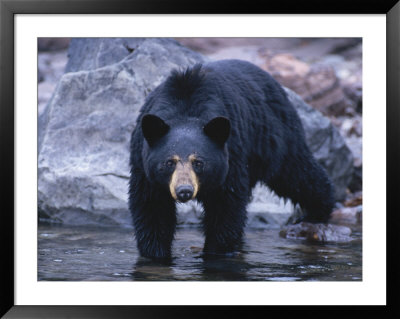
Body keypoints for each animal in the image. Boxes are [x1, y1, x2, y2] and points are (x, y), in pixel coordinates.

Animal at [128, 59, 334, 260]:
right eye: (169, 162)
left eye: (199, 163)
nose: (184, 191)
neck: (185, 110)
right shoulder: (143, 165)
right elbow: (152, 208)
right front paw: (155, 254)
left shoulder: (232, 157)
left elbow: (226, 208)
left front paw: (216, 252)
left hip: (274, 137)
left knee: (297, 174)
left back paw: (318, 211)